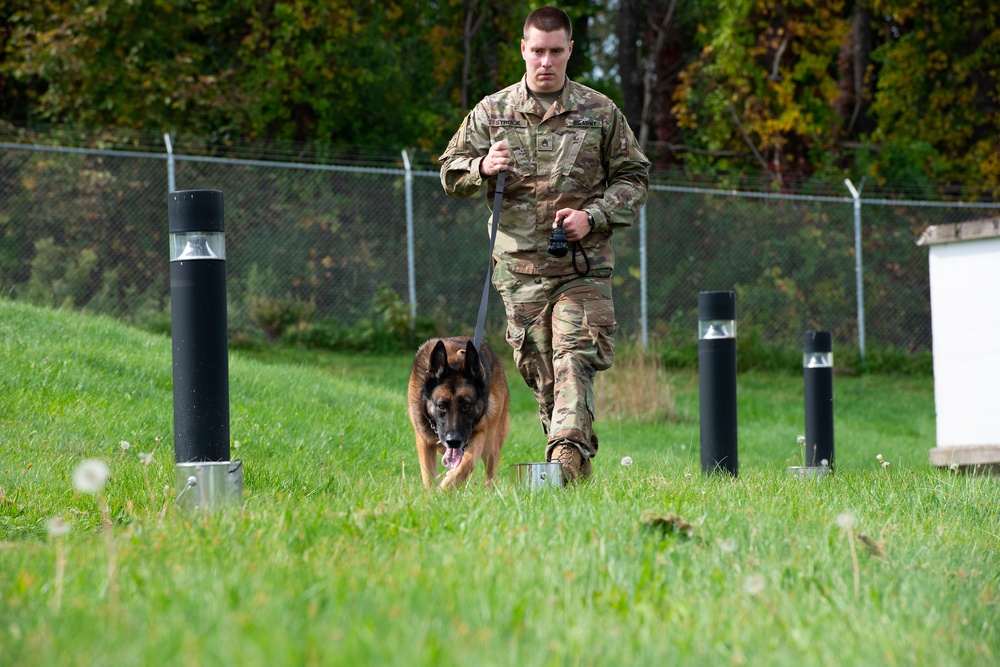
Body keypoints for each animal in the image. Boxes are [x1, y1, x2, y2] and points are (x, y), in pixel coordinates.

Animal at [408, 340, 512, 490]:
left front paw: (446, 487)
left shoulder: (480, 432)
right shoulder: (424, 443)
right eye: (441, 406)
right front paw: (432, 494)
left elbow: (467, 463)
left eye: (466, 405)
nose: (453, 441)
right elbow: (428, 477)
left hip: (491, 442)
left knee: (491, 474)